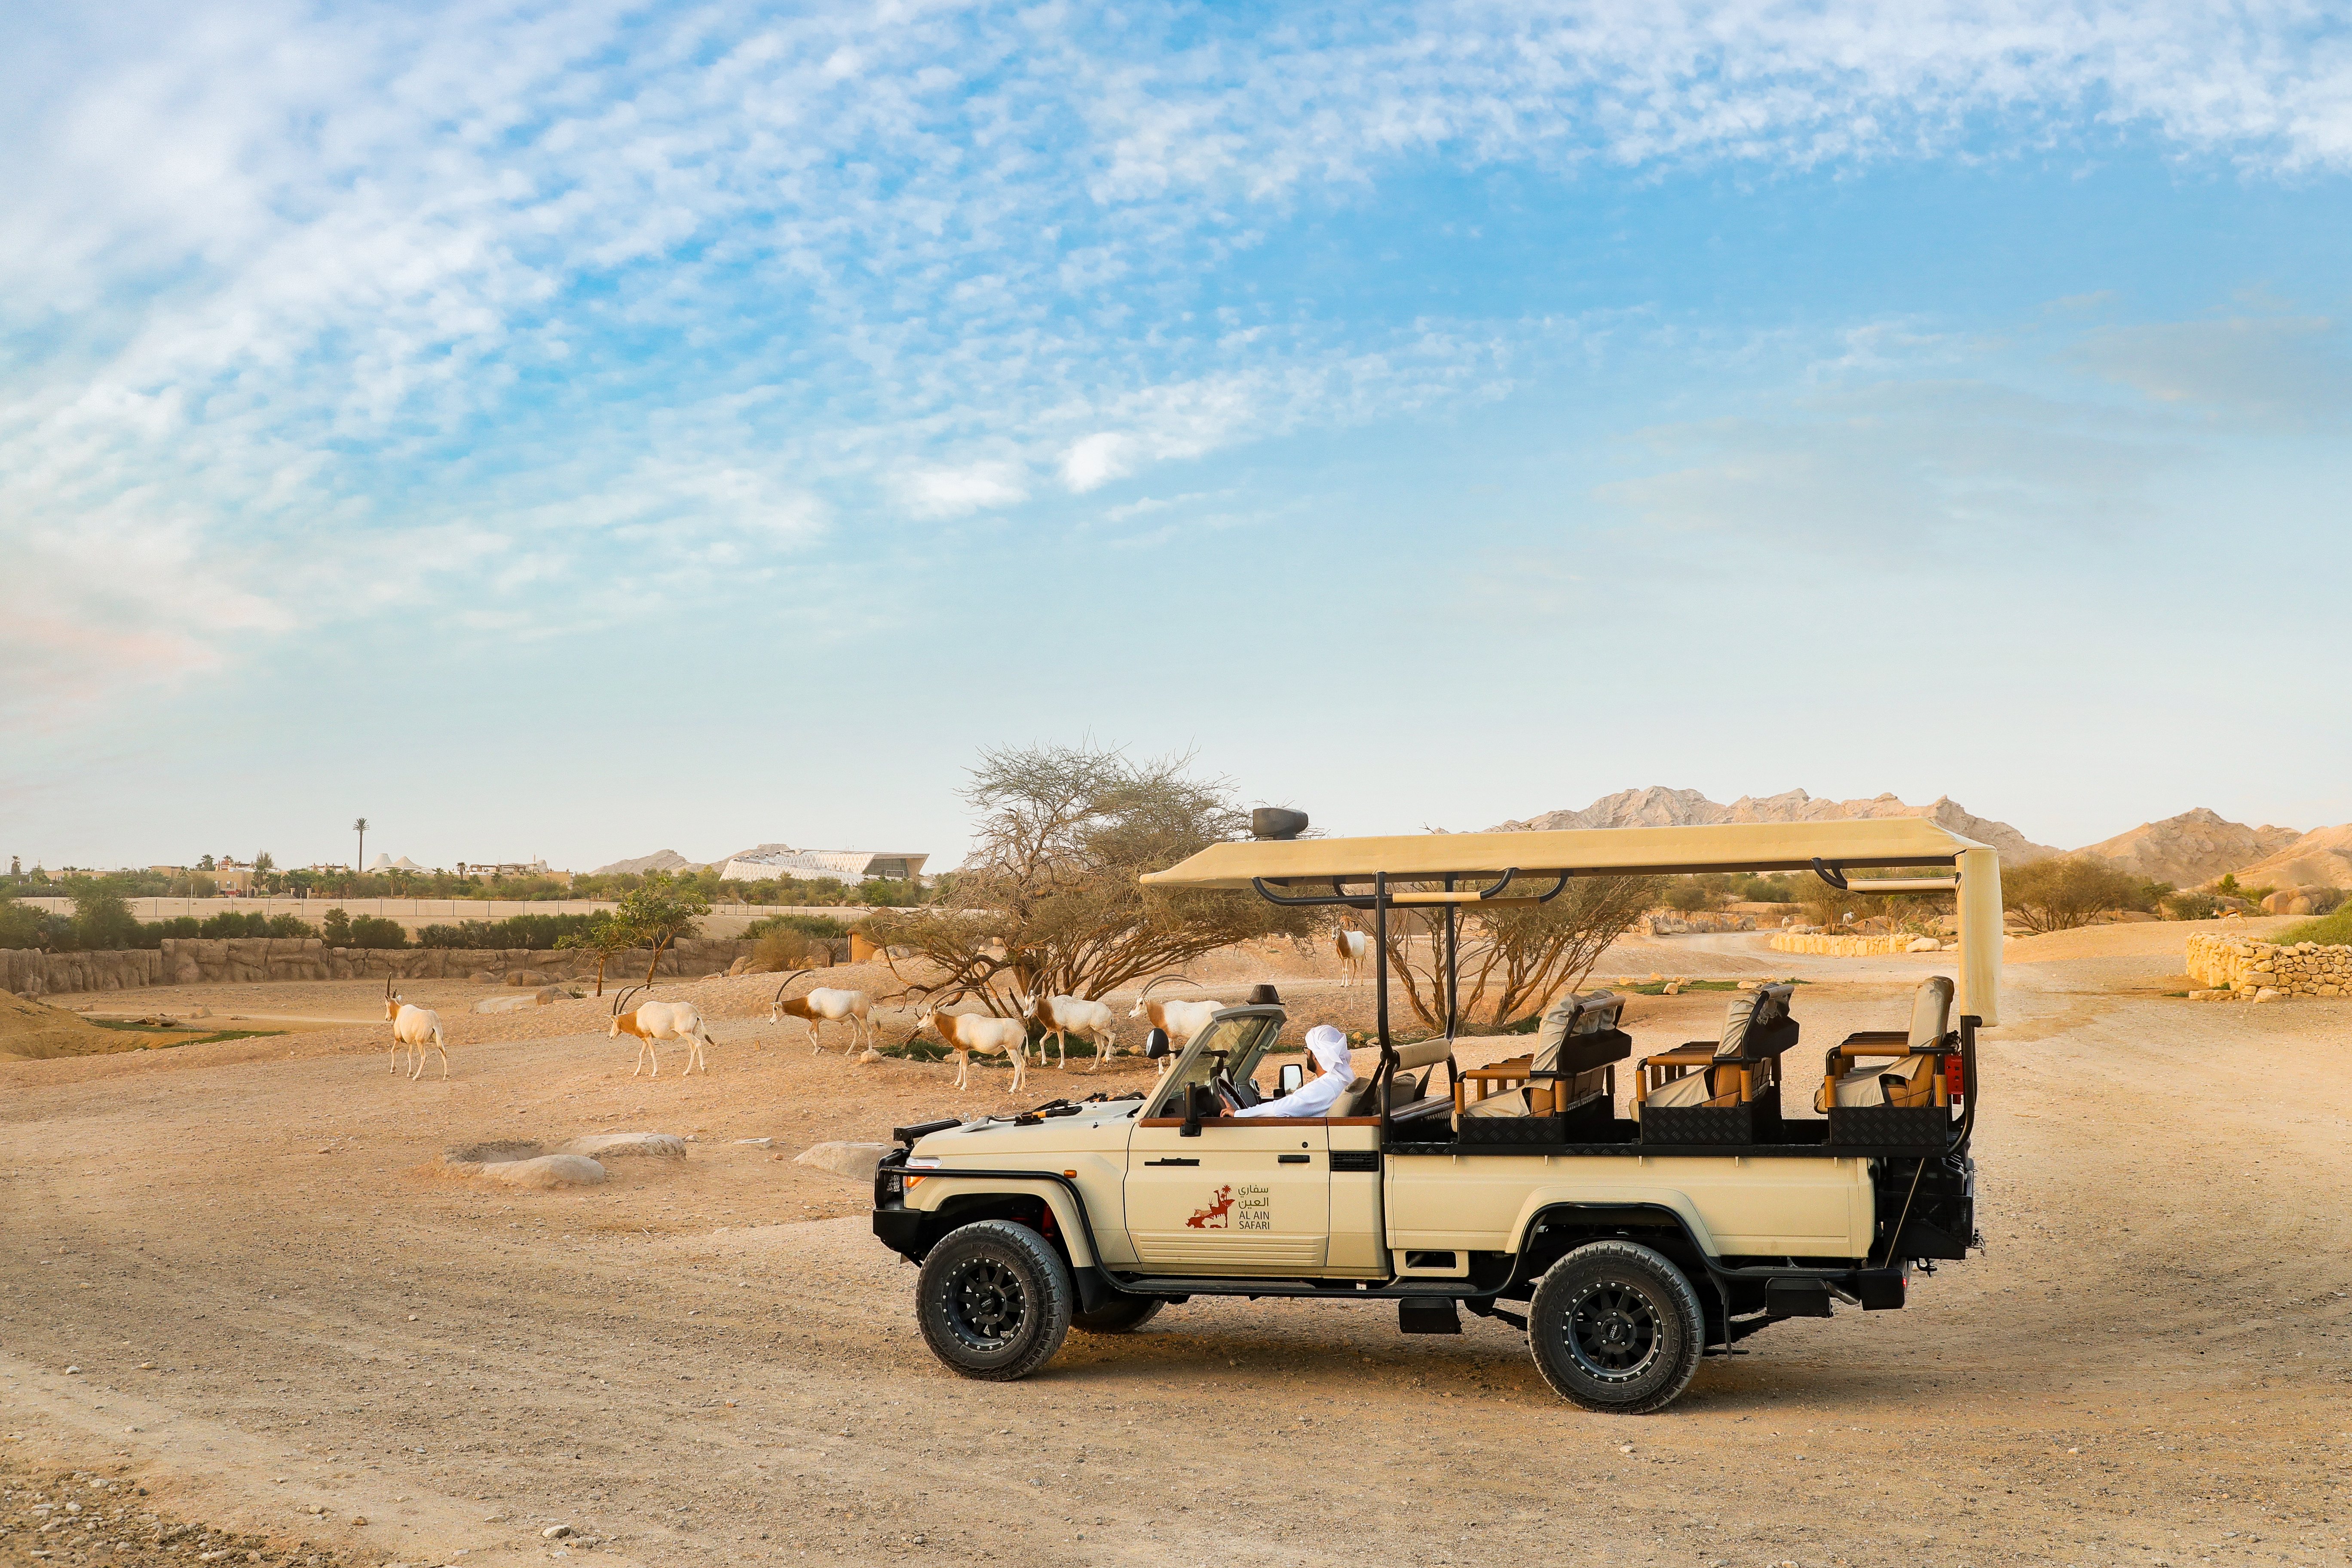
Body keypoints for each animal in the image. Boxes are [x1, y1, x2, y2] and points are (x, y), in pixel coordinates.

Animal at [383, 987, 447, 1086]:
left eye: (386, 1004)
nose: (387, 1018)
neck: (399, 1010)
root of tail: (433, 1020)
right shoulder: (411, 1042)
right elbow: (410, 1055)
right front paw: (410, 1073)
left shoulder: (397, 1038)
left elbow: (392, 1050)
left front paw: (393, 1070)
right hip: (439, 1040)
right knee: (444, 1053)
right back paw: (446, 1076)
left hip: (420, 1043)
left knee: (424, 1057)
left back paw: (416, 1077)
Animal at [606, 992, 715, 1081]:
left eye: (612, 1022)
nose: (610, 1036)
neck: (636, 1018)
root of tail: (695, 1010)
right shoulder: (646, 1038)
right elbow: (641, 1054)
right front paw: (637, 1072)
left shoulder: (649, 1037)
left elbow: (653, 1053)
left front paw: (655, 1073)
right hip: (691, 1033)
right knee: (693, 1049)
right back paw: (686, 1072)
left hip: (686, 1033)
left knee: (698, 1043)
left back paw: (704, 1069)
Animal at [771, 973, 884, 1063]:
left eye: (775, 1008)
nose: (771, 1022)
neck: (808, 1001)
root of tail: (868, 1000)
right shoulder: (817, 1020)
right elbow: (808, 1032)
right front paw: (819, 1049)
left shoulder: (815, 1019)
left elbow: (816, 1035)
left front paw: (816, 1052)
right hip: (854, 1019)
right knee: (857, 1033)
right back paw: (847, 1053)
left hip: (862, 1018)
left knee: (869, 1032)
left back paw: (869, 1052)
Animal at [913, 1006, 1035, 1090]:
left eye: (928, 1014)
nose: (918, 1026)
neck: (955, 1024)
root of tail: (1022, 1029)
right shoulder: (962, 1050)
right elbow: (960, 1065)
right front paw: (957, 1083)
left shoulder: (964, 1050)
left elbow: (965, 1067)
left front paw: (963, 1087)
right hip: (1017, 1050)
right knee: (1023, 1063)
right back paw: (1022, 1087)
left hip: (1011, 1050)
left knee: (1017, 1065)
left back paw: (1012, 1089)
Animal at [1011, 1001, 1119, 1072]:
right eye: (1027, 1000)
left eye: (1034, 1001)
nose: (1026, 1015)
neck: (1051, 1008)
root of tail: (1110, 1013)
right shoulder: (1051, 1031)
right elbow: (1041, 1041)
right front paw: (1044, 1062)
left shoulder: (1060, 1030)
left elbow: (1061, 1046)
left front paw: (1061, 1065)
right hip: (1096, 1031)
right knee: (1100, 1046)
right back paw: (1094, 1067)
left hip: (1101, 1029)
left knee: (1112, 1036)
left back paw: (1106, 1059)